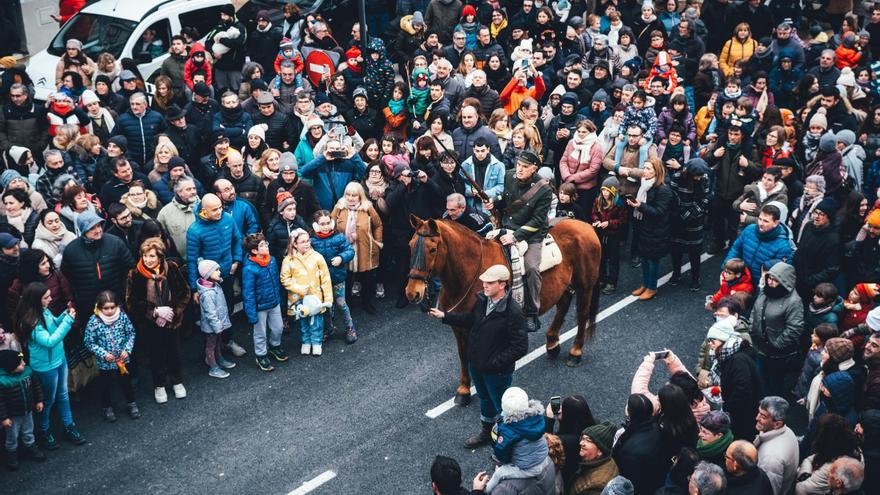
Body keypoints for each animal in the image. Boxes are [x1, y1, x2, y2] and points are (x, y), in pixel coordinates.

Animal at [408, 217, 600, 406]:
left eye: (432, 249)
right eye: (410, 245)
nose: (412, 293)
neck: (470, 274)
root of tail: (584, 225)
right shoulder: (458, 325)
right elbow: (463, 355)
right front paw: (463, 389)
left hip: (585, 286)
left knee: (582, 315)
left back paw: (575, 352)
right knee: (563, 304)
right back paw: (552, 343)